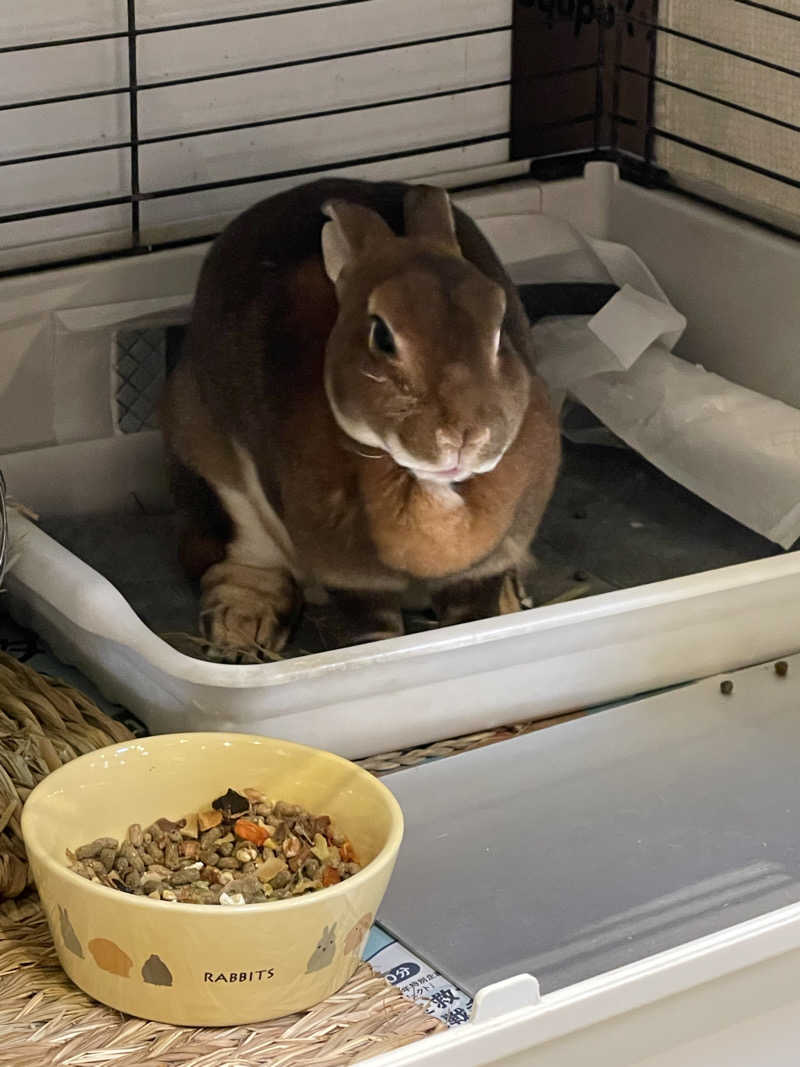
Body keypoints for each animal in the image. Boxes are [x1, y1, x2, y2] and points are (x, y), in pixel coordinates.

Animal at [162, 174, 558, 657]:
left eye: (500, 329)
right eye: (382, 336)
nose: (465, 435)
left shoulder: (482, 568)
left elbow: (472, 614)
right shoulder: (352, 579)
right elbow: (373, 632)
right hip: (205, 463)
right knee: (237, 559)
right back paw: (239, 634)